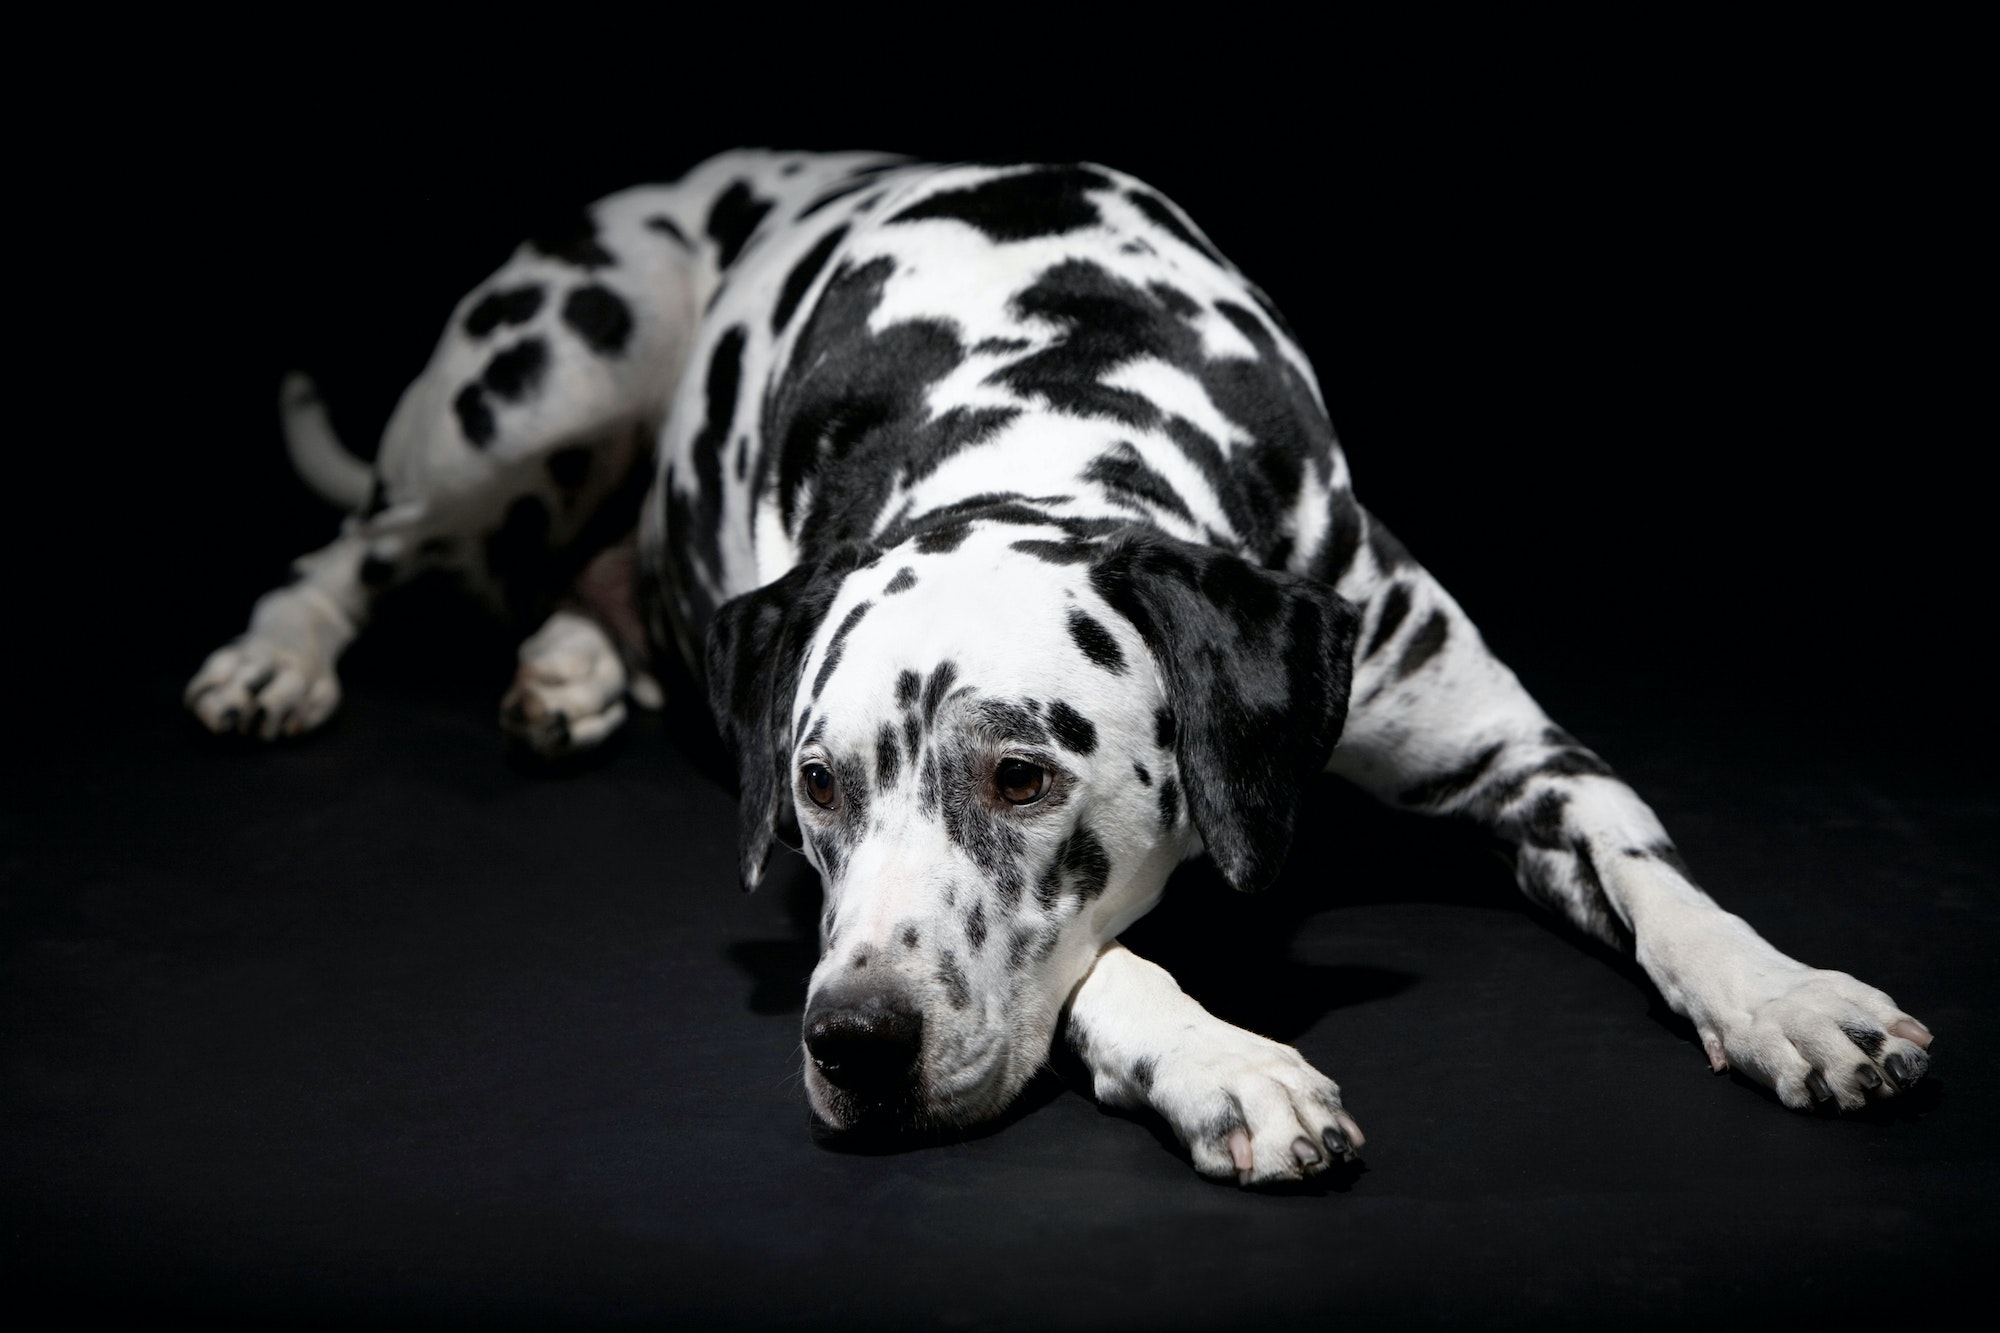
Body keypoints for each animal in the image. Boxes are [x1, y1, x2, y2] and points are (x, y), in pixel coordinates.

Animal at [191, 150, 1936, 1176]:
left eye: (1022, 775)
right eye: (817, 790)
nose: (852, 1043)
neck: (1066, 383)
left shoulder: (1526, 758)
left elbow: (1665, 888)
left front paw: (1791, 998)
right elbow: (1106, 965)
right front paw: (1224, 1059)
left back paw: (569, 665)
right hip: (539, 386)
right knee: (348, 544)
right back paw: (278, 659)